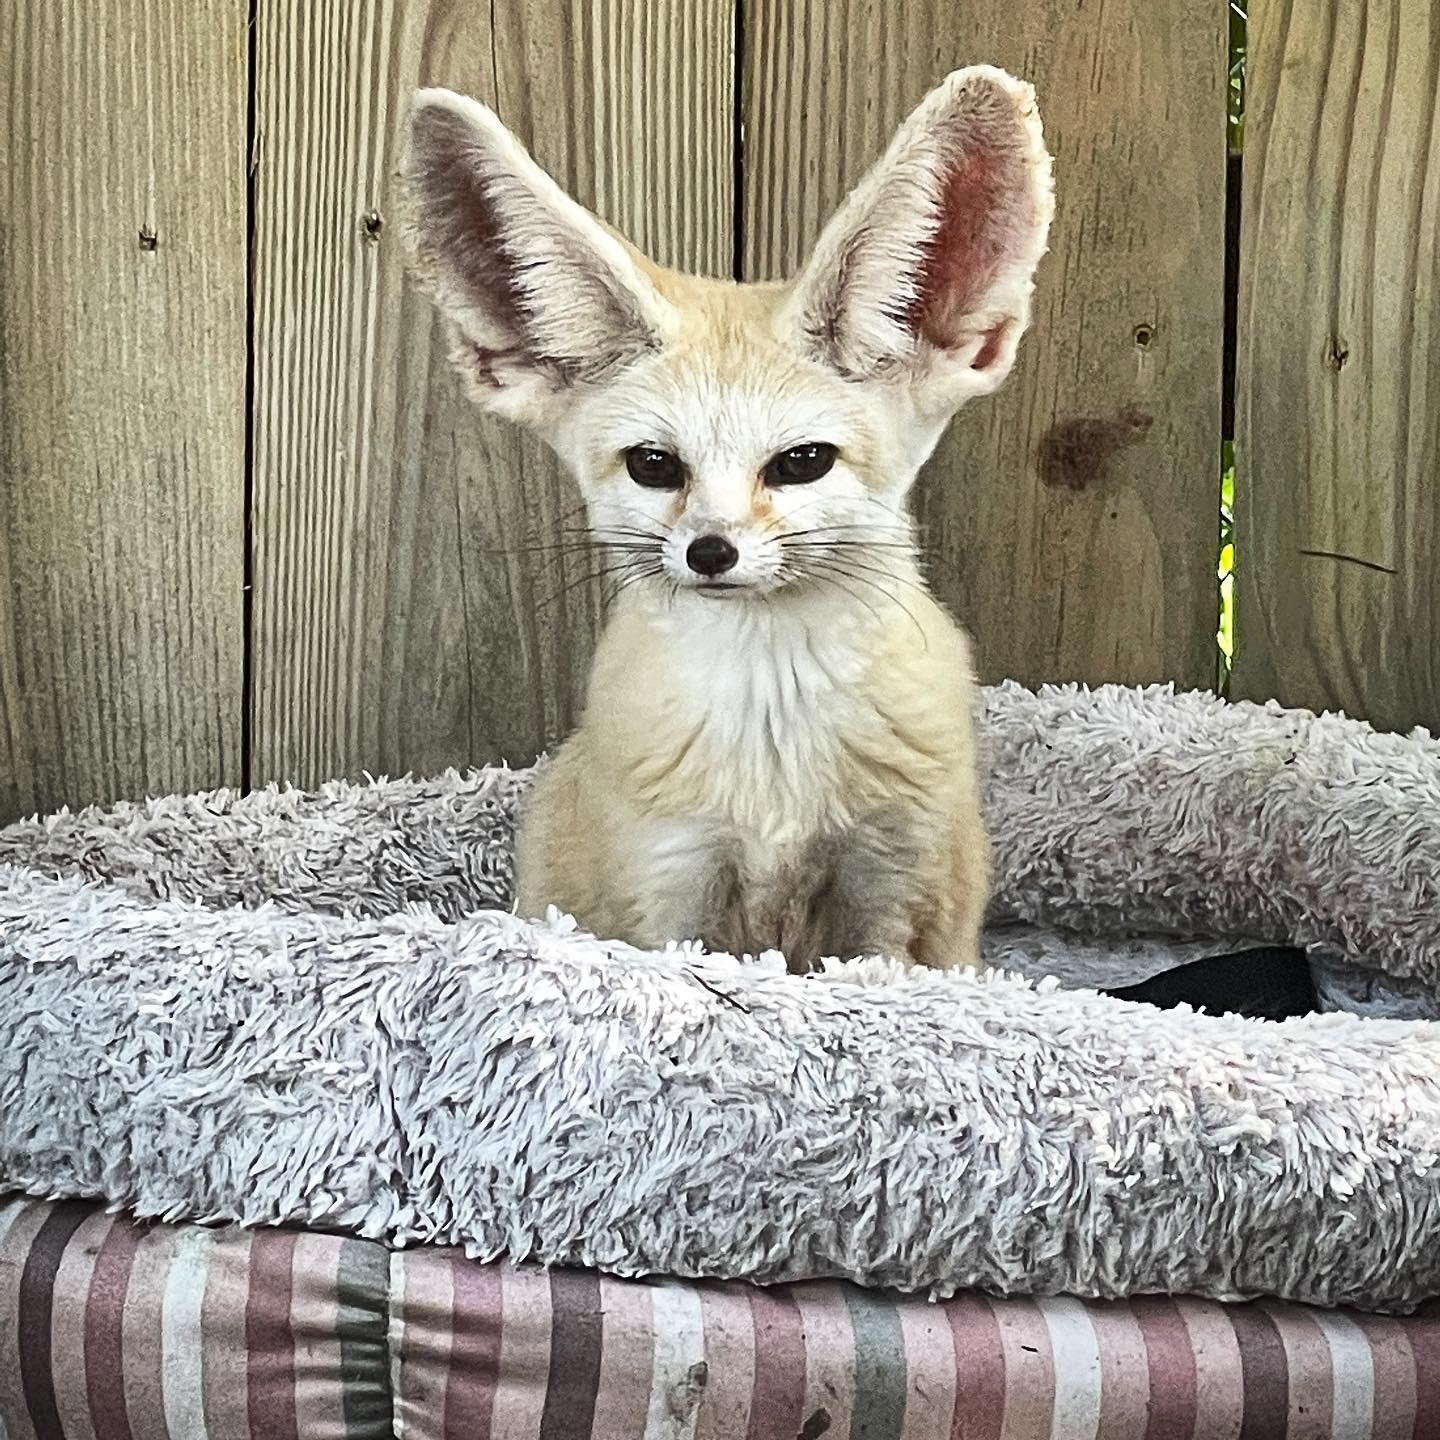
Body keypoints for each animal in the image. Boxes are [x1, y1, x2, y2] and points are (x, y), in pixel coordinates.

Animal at [400, 65, 1053, 973]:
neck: (772, 729)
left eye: (801, 462)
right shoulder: (675, 889)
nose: (711, 551)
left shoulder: (896, 891)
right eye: (654, 465)